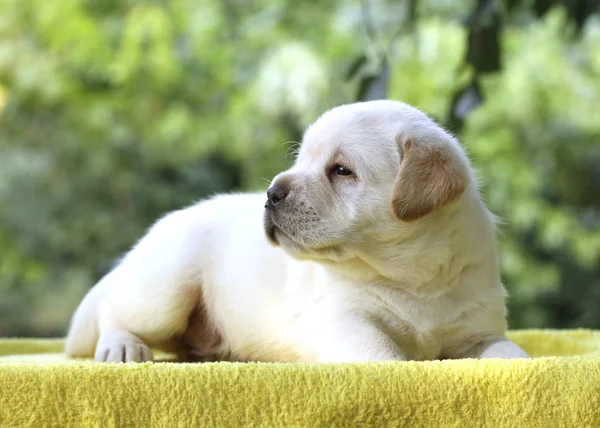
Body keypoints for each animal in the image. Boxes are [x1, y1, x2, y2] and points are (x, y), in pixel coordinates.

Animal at [64, 101, 528, 364]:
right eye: (301, 159)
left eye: (341, 170)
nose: (271, 193)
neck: (412, 278)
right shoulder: (343, 319)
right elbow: (387, 356)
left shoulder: (478, 332)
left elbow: (509, 353)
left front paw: (518, 361)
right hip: (165, 291)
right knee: (115, 313)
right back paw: (121, 347)